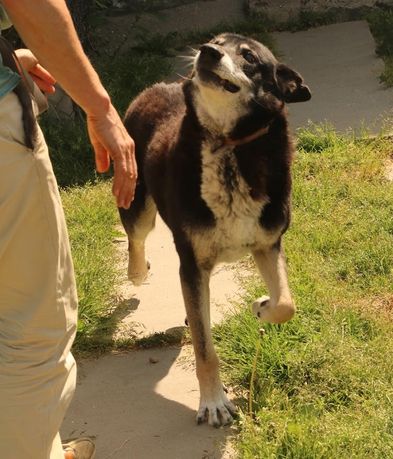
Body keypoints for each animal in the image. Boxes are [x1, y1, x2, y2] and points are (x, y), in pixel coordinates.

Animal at [119, 32, 310, 428]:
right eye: (215, 41)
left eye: (249, 56)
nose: (206, 52)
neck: (228, 145)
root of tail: (156, 86)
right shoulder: (192, 264)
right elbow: (205, 349)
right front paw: (213, 402)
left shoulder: (268, 243)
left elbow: (287, 303)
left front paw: (261, 306)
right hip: (138, 204)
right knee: (137, 238)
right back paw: (137, 272)